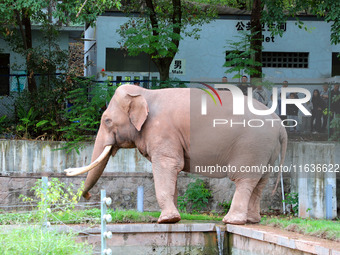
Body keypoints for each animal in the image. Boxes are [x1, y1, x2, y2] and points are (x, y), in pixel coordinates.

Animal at [65, 84, 286, 224]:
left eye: (107, 121)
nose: (88, 195)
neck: (146, 93)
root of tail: (280, 125)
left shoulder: (162, 132)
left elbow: (166, 166)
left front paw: (167, 219)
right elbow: (174, 171)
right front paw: (174, 217)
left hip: (252, 146)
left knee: (244, 180)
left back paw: (232, 221)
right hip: (267, 151)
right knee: (260, 183)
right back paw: (252, 220)